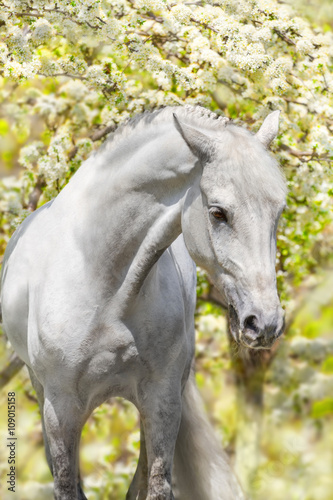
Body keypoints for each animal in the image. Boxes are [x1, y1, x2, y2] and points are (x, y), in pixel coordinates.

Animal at [0, 103, 286, 498]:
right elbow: (67, 484)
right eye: (218, 212)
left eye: (278, 212)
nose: (265, 323)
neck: (106, 290)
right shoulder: (61, 409)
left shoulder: (162, 400)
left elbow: (156, 484)